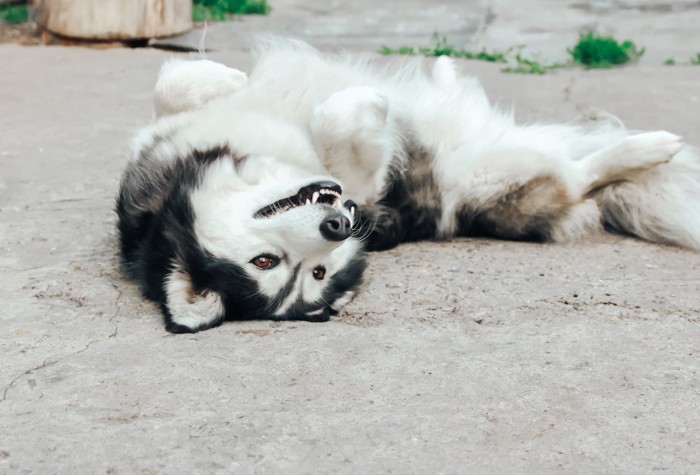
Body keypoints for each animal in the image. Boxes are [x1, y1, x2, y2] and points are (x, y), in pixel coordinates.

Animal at [116, 38, 700, 334]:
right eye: (270, 262)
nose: (340, 223)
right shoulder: (363, 185)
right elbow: (337, 119)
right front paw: (366, 105)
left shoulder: (163, 144)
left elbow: (172, 82)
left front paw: (230, 78)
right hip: (496, 174)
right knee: (583, 174)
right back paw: (648, 149)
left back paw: (446, 70)